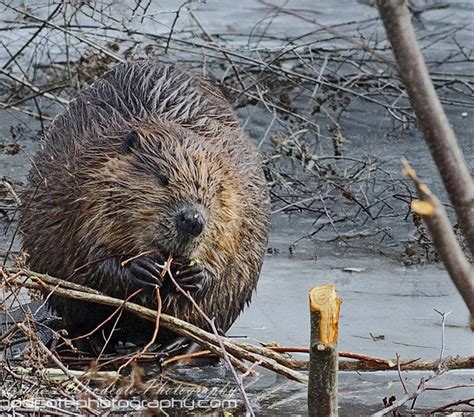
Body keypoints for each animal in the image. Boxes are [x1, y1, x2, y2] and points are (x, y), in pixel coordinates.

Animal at [20, 61, 270, 354]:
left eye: (214, 188)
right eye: (162, 179)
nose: (192, 220)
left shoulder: (241, 197)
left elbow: (229, 252)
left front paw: (195, 274)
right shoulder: (80, 184)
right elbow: (87, 254)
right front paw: (141, 268)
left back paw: (180, 344)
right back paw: (95, 340)